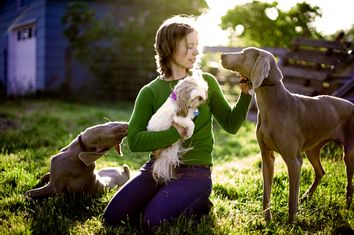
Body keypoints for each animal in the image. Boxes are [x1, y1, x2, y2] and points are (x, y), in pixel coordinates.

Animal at [221, 47, 354, 222]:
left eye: (243, 54)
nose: (221, 55)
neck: (272, 104)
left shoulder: (294, 161)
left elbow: (291, 199)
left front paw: (291, 222)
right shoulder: (267, 157)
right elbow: (266, 193)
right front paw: (267, 220)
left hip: (348, 153)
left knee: (350, 182)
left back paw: (347, 207)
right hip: (311, 150)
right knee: (320, 172)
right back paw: (305, 197)